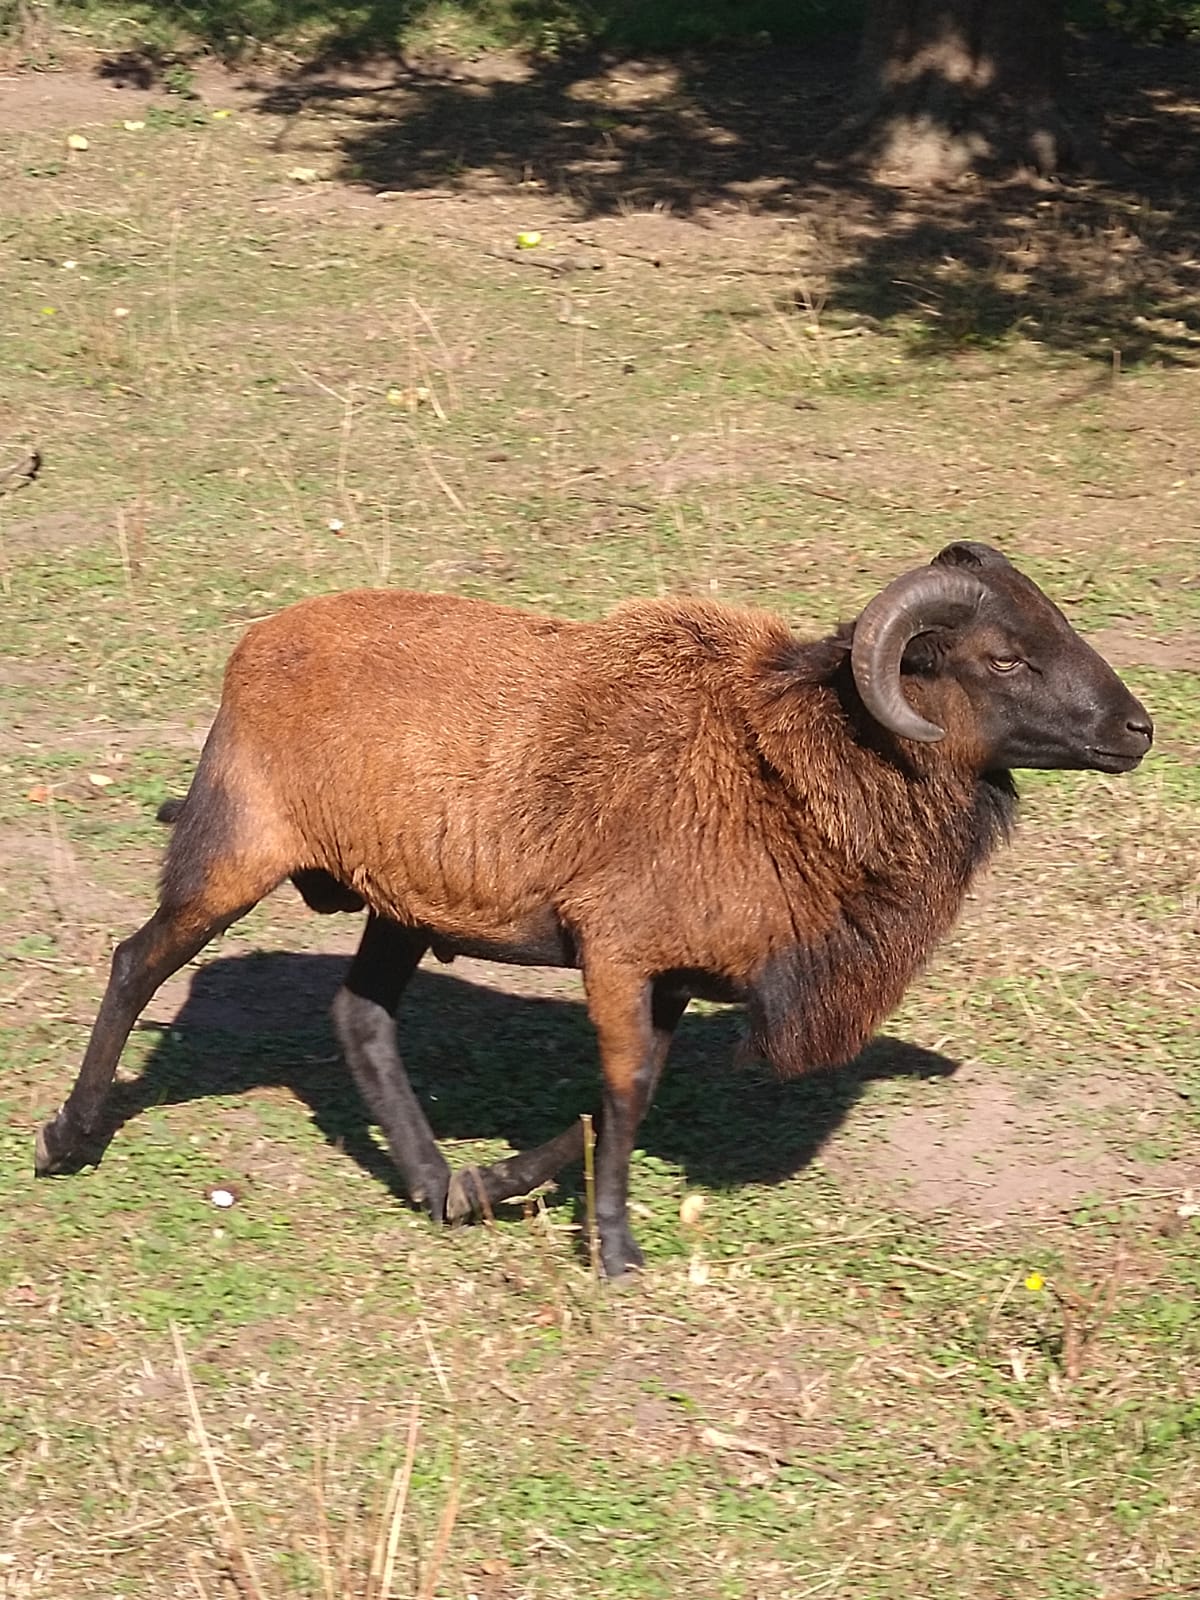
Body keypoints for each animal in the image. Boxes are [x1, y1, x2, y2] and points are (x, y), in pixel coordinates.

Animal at [35, 541, 1153, 1278]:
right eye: (1002, 657)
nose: (1138, 729)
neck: (786, 763)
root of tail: (255, 645)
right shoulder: (616, 952)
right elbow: (623, 1091)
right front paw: (614, 1249)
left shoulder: (671, 974)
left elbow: (626, 1091)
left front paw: (500, 1183)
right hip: (235, 852)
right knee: (138, 961)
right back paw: (70, 1138)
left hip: (400, 905)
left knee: (362, 1018)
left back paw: (436, 1183)